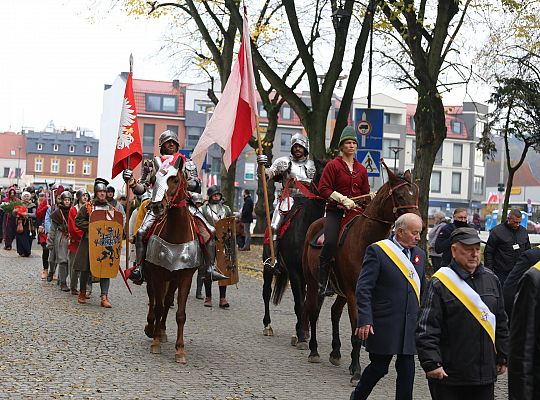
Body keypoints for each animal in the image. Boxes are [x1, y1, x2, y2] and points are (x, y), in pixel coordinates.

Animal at [143, 155, 202, 362]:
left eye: (174, 179)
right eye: (154, 180)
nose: (157, 206)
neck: (176, 232)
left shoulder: (185, 276)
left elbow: (180, 313)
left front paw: (180, 350)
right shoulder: (158, 273)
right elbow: (158, 306)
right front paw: (155, 343)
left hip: (173, 278)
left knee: (168, 301)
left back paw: (161, 330)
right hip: (152, 274)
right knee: (153, 299)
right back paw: (151, 327)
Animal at [302, 165, 420, 382]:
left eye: (415, 193)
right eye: (400, 195)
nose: (418, 225)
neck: (365, 240)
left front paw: (355, 363)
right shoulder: (355, 294)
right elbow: (359, 331)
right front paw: (356, 370)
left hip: (341, 291)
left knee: (334, 312)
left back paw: (335, 352)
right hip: (313, 283)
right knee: (313, 311)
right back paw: (314, 351)